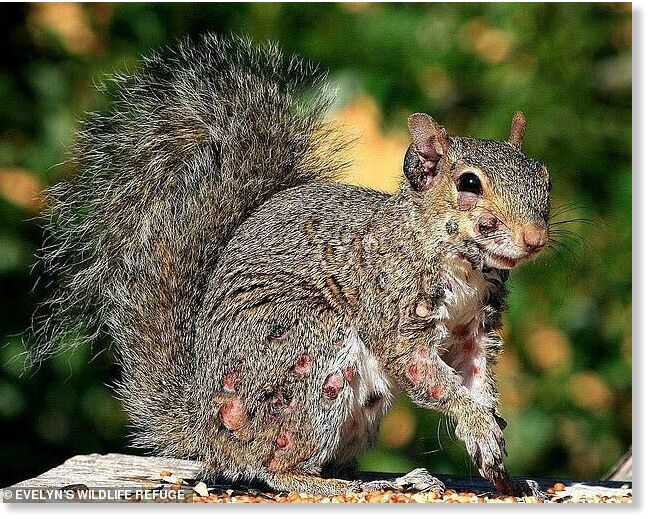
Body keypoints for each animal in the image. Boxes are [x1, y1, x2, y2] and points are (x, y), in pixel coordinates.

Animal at [30, 35, 551, 497]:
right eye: (469, 183)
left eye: (543, 177)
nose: (535, 238)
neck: (463, 267)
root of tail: (208, 431)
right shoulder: (393, 308)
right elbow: (425, 371)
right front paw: (478, 423)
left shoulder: (474, 329)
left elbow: (476, 378)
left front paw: (499, 457)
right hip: (309, 358)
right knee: (272, 467)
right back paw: (334, 484)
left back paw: (389, 479)